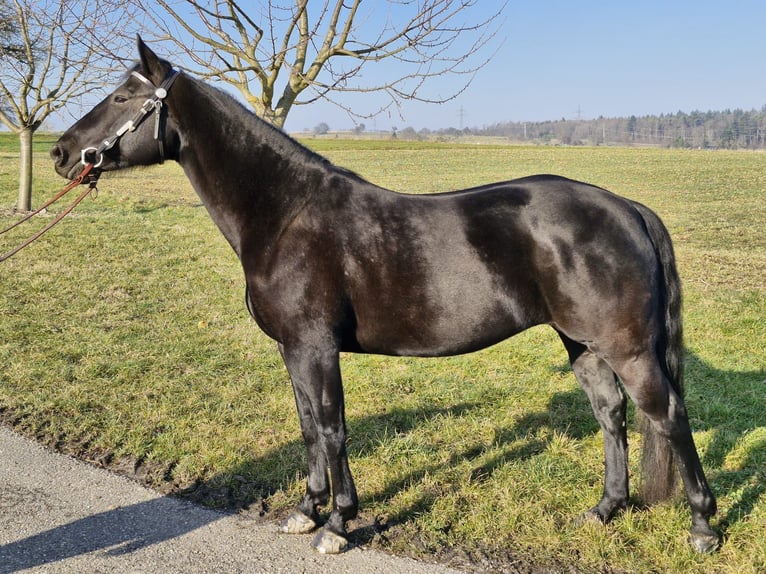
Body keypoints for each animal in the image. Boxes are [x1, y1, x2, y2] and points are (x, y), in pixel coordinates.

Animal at [49, 39, 720, 552]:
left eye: (122, 97)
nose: (60, 152)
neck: (286, 214)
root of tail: (625, 207)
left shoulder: (316, 348)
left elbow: (333, 428)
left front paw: (339, 524)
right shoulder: (293, 350)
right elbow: (308, 429)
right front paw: (308, 510)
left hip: (627, 348)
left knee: (668, 415)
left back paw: (702, 527)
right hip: (582, 344)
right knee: (611, 414)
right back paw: (606, 508)